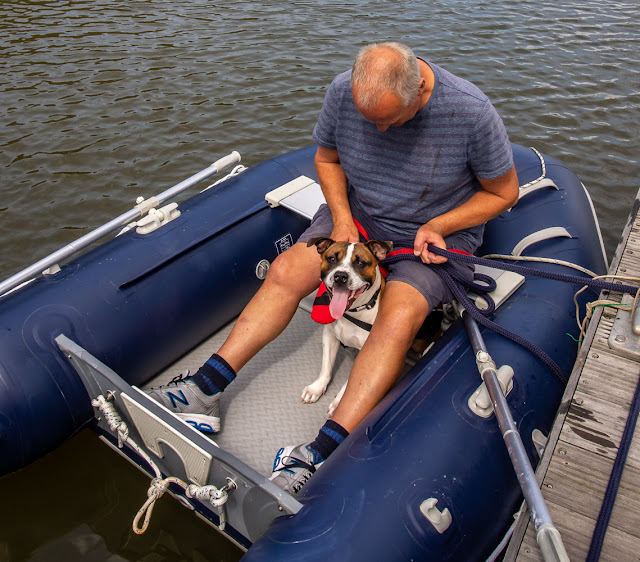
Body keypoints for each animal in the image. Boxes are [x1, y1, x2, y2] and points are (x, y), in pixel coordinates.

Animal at [302, 234, 392, 414]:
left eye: (360, 263)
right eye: (331, 259)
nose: (340, 276)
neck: (352, 313)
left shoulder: (365, 352)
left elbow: (351, 381)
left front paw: (338, 403)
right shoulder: (329, 336)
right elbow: (326, 367)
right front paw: (317, 388)